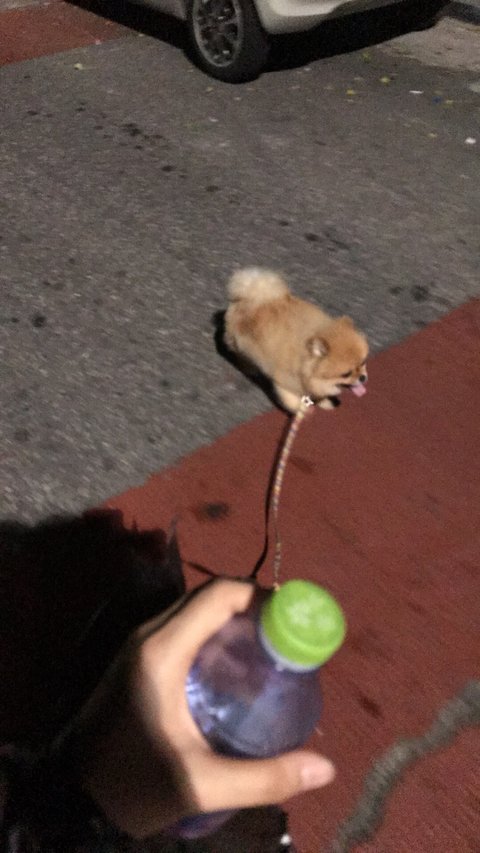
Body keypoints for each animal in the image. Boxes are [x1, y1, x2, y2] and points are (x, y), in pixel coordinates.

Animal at [224, 267, 369, 413]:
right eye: (346, 374)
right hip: (238, 345)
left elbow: (319, 396)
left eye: (363, 363)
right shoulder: (284, 383)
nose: (362, 377)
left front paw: (325, 403)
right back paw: (250, 369)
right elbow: (291, 402)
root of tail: (252, 295)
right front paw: (303, 410)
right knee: (241, 356)